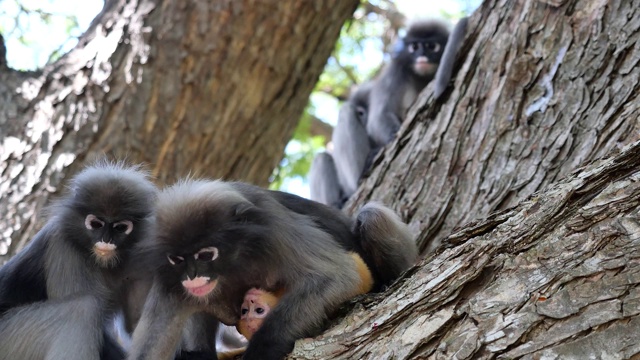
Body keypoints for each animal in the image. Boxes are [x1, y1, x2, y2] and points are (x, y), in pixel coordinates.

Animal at [0, 161, 158, 360]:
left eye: (120, 227)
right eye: (96, 224)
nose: (106, 240)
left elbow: (136, 324)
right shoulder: (64, 249)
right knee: (82, 309)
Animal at [127, 180, 418, 360]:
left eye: (206, 255)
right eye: (177, 259)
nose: (191, 276)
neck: (231, 265)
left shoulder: (274, 231)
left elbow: (337, 275)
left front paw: (260, 351)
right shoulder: (168, 277)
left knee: (371, 215)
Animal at [310, 19, 450, 210]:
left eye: (432, 46)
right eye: (414, 47)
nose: (422, 55)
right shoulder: (396, 72)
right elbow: (378, 118)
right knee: (324, 154)